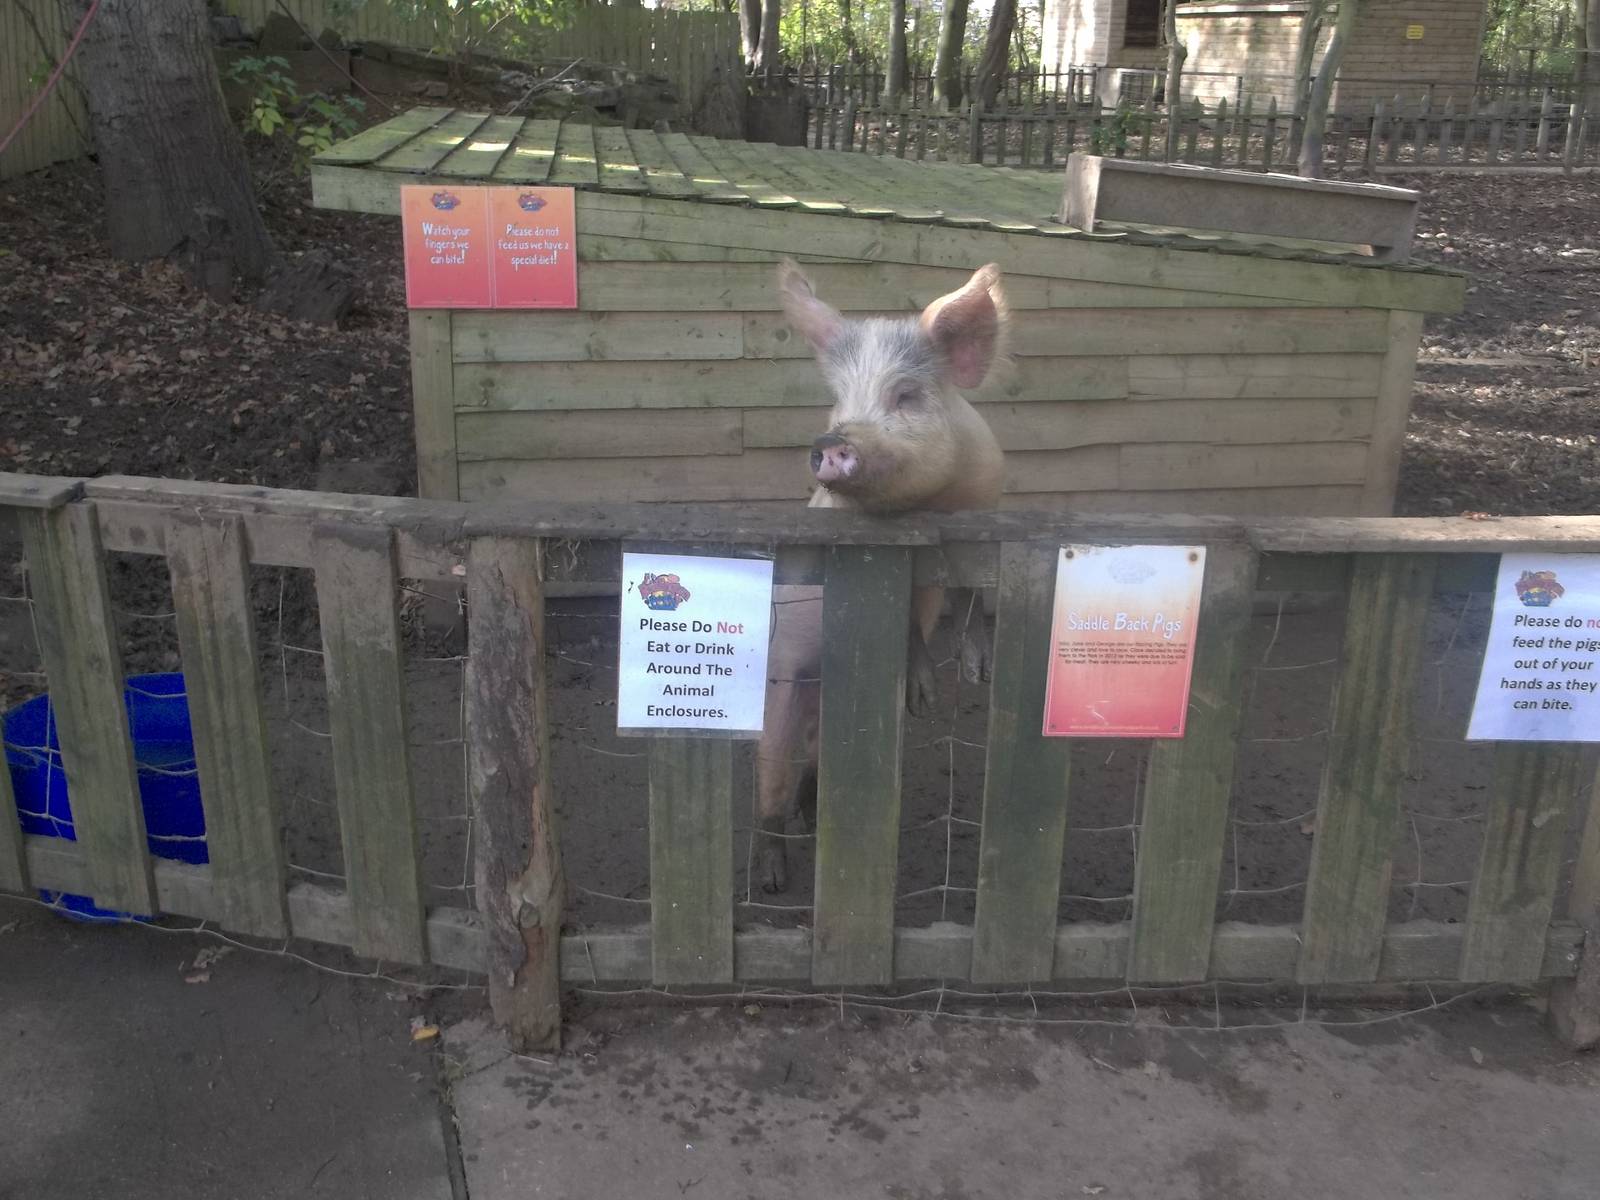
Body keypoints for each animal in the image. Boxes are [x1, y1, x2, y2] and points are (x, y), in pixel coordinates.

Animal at [755, 259, 1008, 893]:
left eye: (905, 395)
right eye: (838, 400)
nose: (831, 442)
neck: (934, 507)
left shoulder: (983, 516)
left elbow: (970, 593)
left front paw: (974, 676)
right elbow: (913, 623)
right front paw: (926, 694)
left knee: (814, 763)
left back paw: (810, 818)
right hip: (778, 680)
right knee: (772, 777)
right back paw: (773, 877)